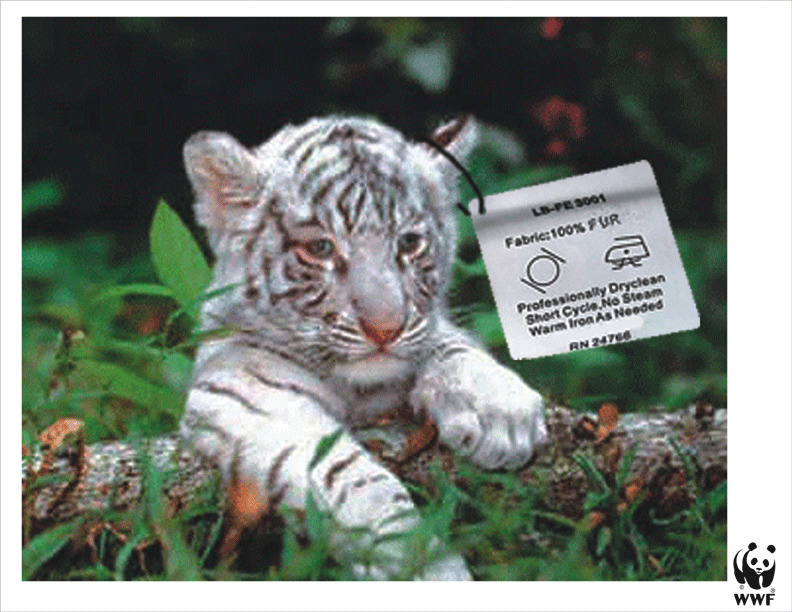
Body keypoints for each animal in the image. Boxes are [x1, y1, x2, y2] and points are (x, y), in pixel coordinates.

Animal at [180, 115, 548, 580]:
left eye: (409, 243)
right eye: (320, 247)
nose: (385, 329)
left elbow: (448, 342)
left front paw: (500, 413)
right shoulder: (247, 389)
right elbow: (349, 476)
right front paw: (418, 562)